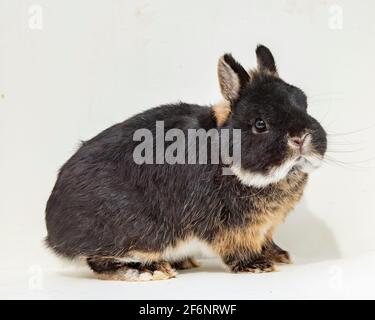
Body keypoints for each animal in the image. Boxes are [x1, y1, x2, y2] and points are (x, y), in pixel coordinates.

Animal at [44, 45, 328, 280]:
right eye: (260, 124)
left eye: (304, 104)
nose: (301, 136)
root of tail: (54, 234)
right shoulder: (230, 228)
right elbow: (237, 249)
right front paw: (257, 265)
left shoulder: (265, 229)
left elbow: (268, 241)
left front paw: (279, 255)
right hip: (136, 231)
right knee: (100, 261)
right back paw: (151, 270)